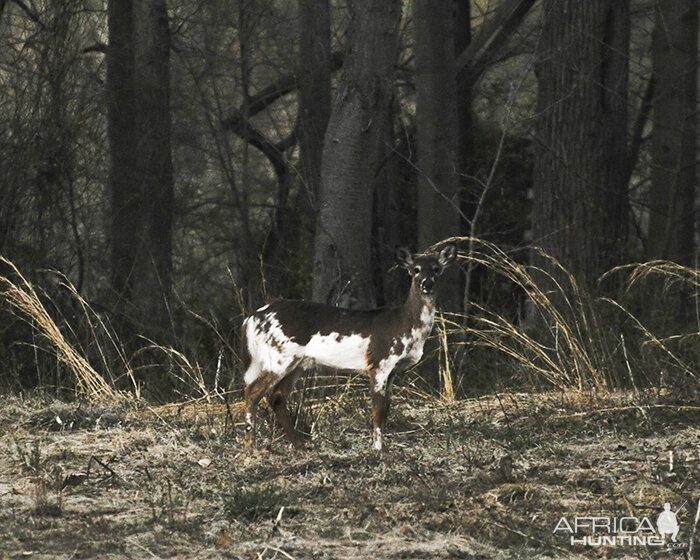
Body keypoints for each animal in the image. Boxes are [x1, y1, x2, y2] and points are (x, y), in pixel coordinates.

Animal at [243, 244, 456, 450]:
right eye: (416, 269)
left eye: (436, 269)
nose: (427, 283)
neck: (405, 326)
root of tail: (251, 319)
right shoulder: (379, 361)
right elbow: (378, 408)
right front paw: (378, 449)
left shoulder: (393, 371)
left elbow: (387, 408)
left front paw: (382, 446)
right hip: (278, 355)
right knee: (252, 390)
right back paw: (253, 446)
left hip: (296, 363)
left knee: (277, 397)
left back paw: (300, 445)